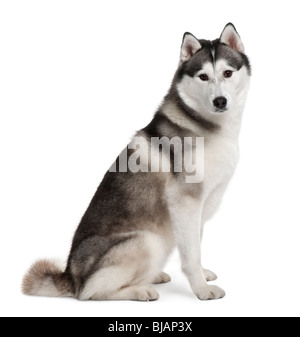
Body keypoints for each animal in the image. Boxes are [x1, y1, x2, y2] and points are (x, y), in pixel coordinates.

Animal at [22, 24, 250, 302]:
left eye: (227, 73)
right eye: (203, 77)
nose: (220, 101)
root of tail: (71, 276)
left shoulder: (201, 204)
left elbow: (196, 243)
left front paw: (203, 275)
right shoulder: (185, 202)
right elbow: (191, 254)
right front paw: (201, 289)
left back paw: (153, 276)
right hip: (146, 241)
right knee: (91, 291)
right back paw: (140, 289)